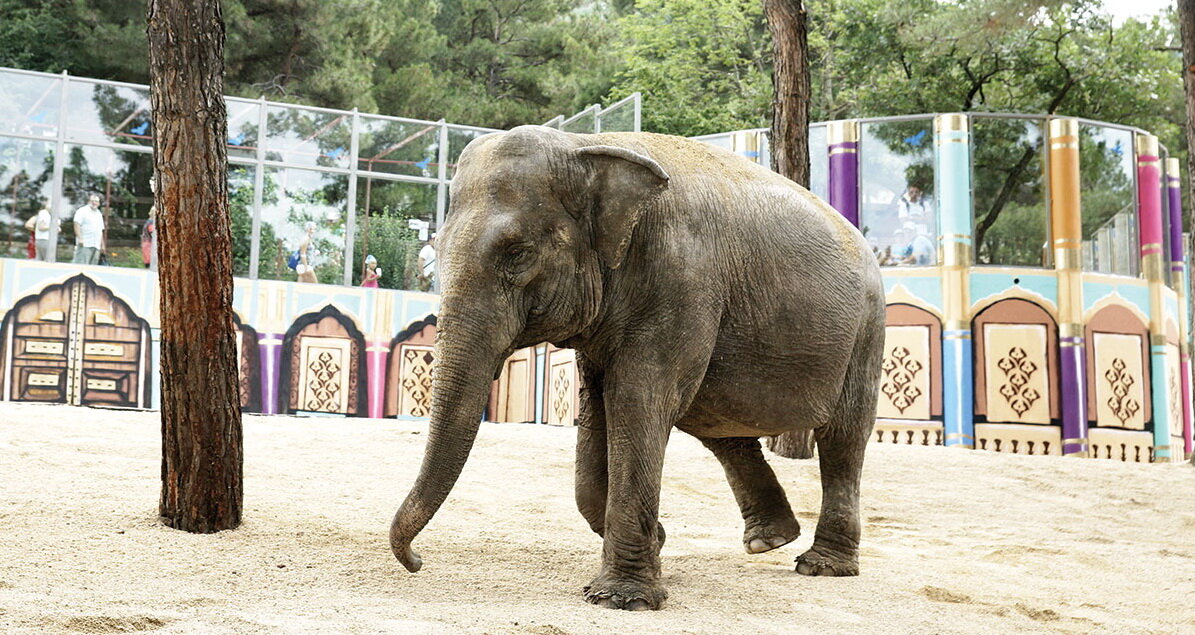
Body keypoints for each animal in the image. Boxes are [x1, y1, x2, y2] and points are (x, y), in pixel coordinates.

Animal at [391, 125, 889, 612]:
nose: (417, 562)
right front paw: (658, 544)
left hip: (866, 329)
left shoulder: (682, 278)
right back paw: (770, 540)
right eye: (437, 248)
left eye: (518, 254)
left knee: (842, 438)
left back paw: (820, 565)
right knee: (718, 428)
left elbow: (637, 401)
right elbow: (598, 407)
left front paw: (621, 598)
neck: (585, 147)